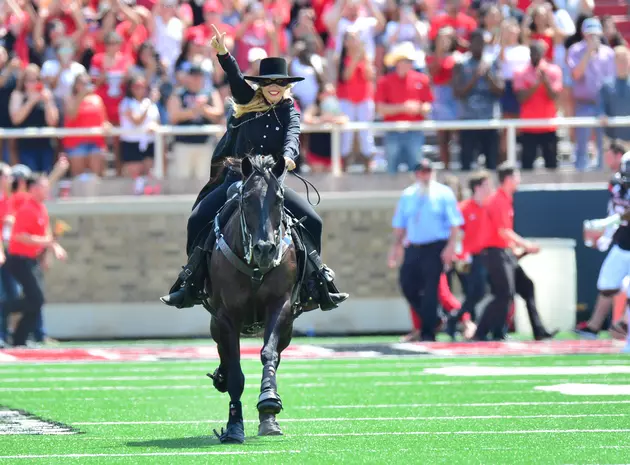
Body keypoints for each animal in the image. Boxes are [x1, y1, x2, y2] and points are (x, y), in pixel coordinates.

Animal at [206, 153, 304, 442]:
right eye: (247, 199)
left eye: (279, 200)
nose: (265, 249)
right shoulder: (226, 316)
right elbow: (236, 371)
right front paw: (234, 426)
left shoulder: (280, 306)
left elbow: (268, 354)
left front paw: (269, 404)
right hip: (216, 324)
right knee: (224, 353)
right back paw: (221, 376)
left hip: (288, 327)